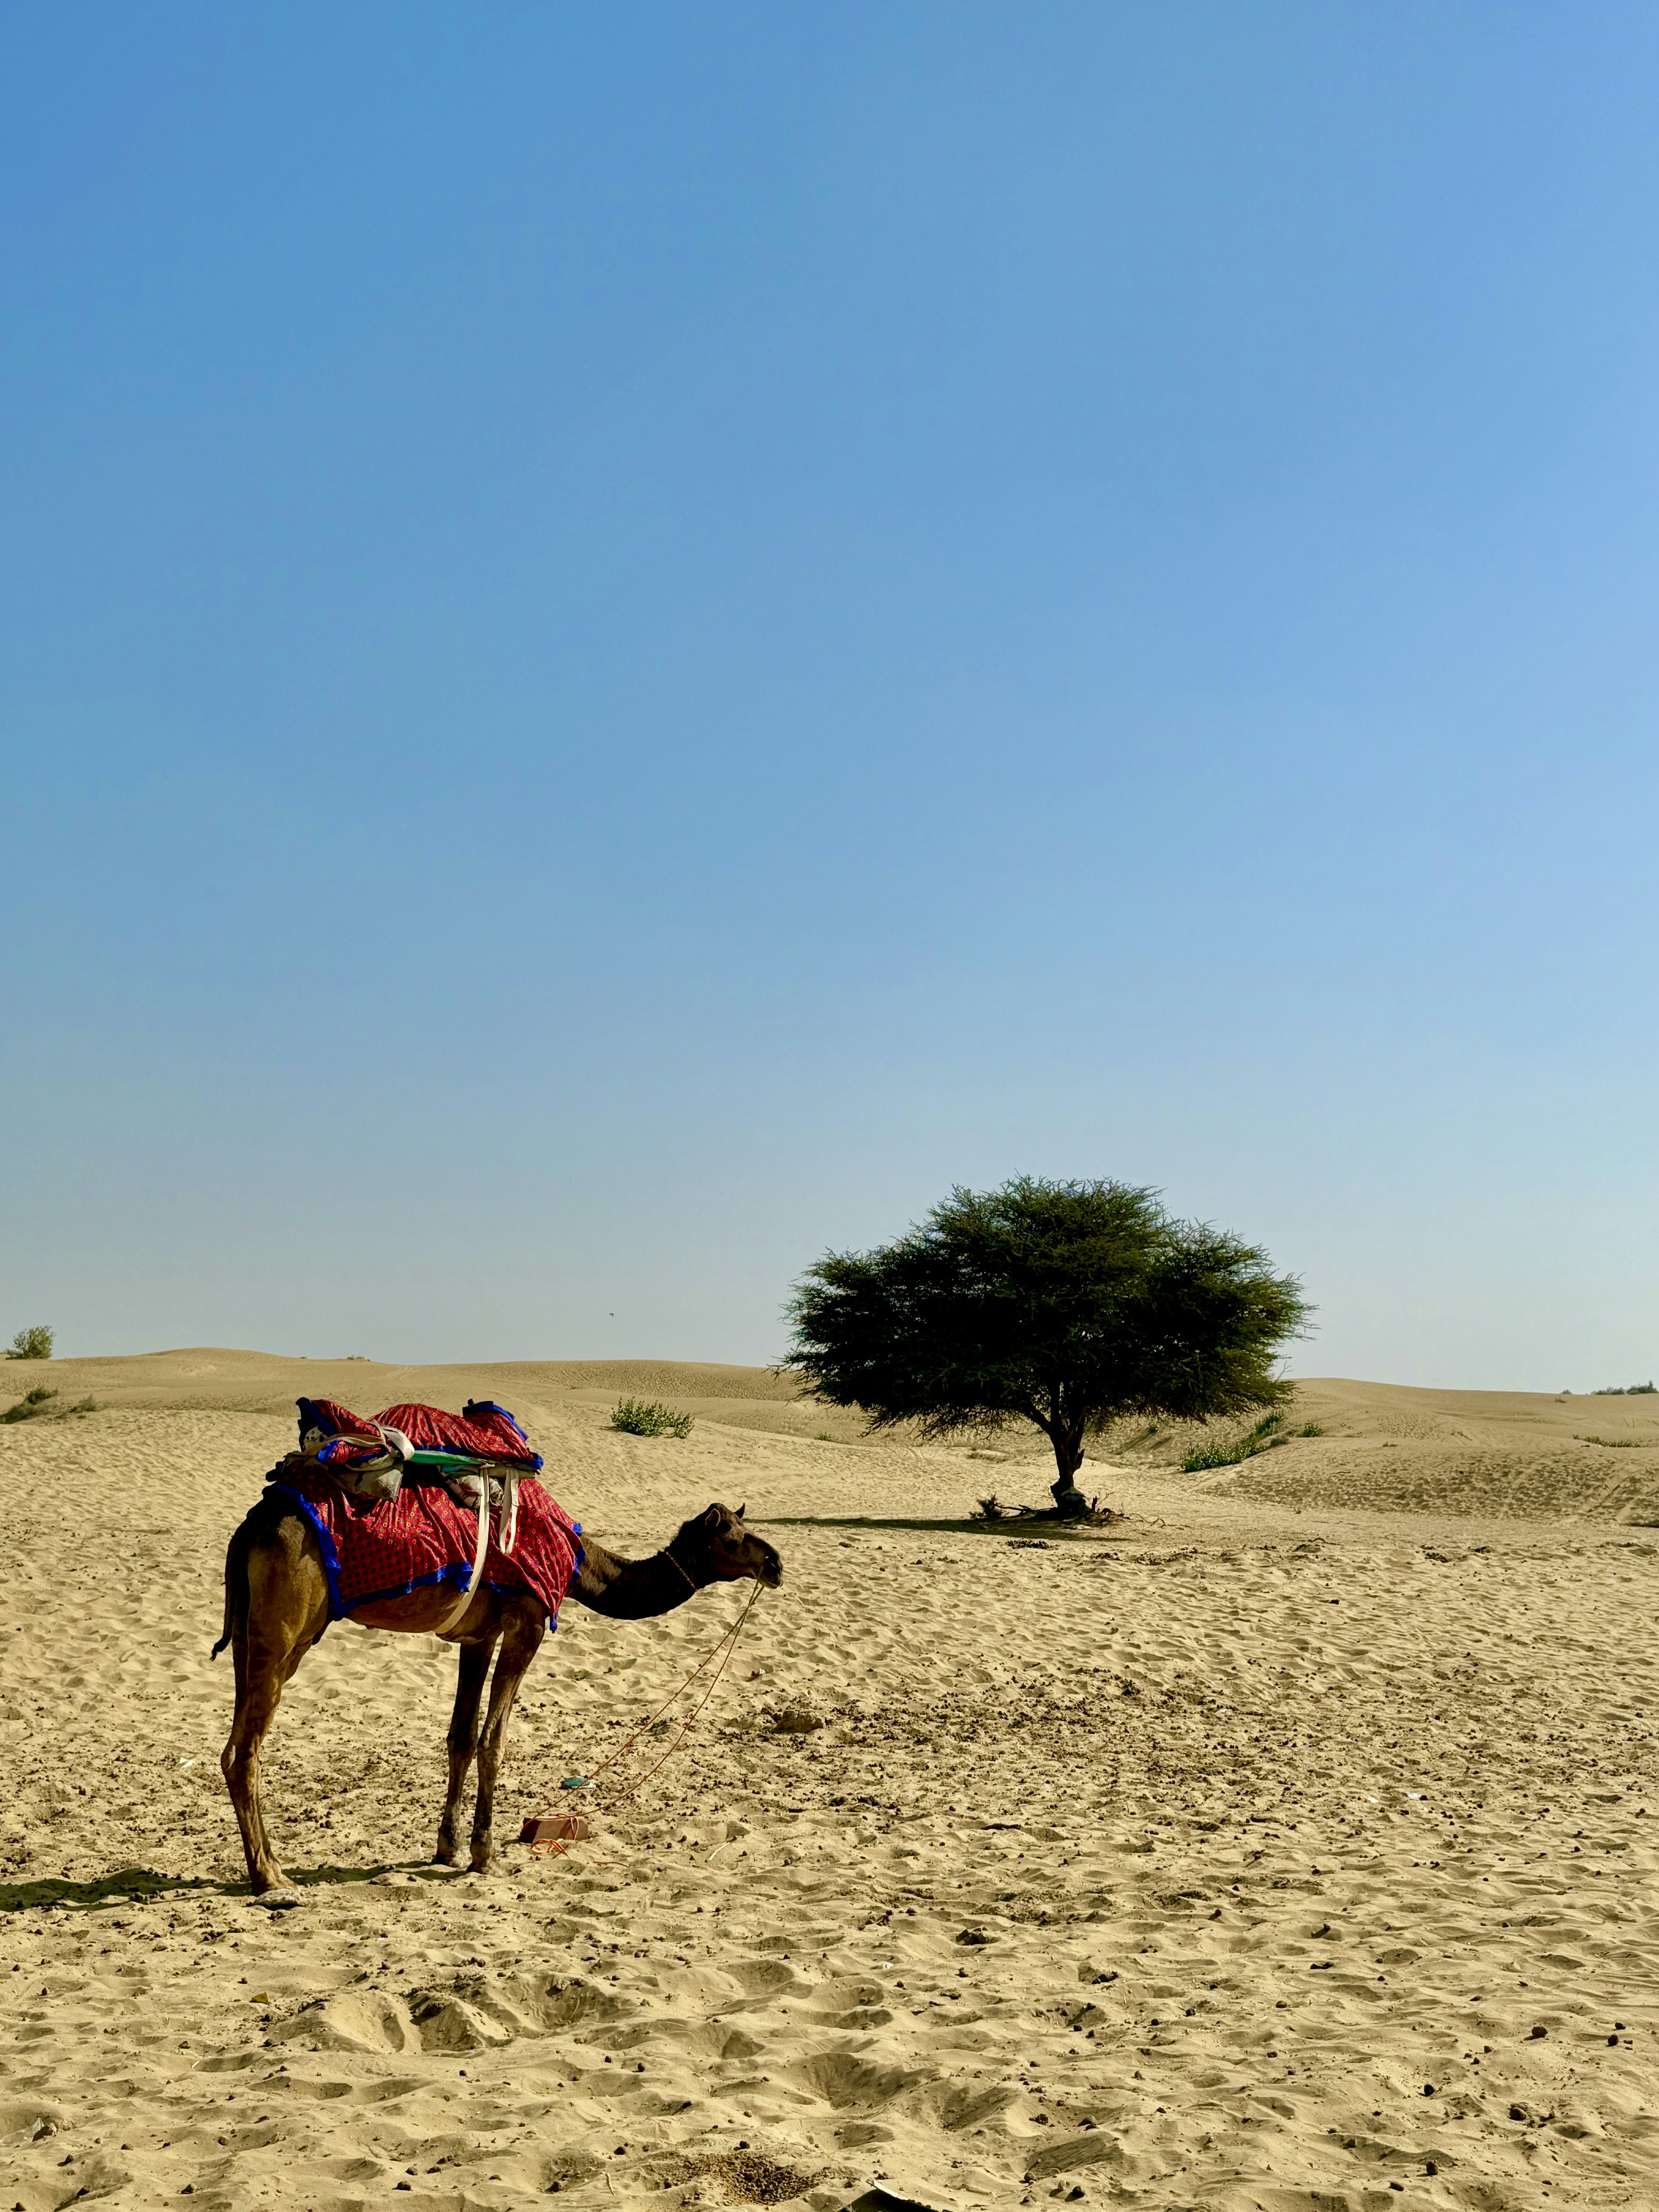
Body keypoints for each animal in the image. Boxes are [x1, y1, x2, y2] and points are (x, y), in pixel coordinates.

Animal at [214, 1490, 782, 1902]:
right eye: (732, 1539)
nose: (775, 1563)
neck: (579, 1565)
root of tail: (253, 1528)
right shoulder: (526, 1621)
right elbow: (495, 1739)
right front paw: (486, 1855)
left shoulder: (478, 1634)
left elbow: (461, 1738)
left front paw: (446, 1848)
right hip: (288, 1626)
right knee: (246, 1752)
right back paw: (272, 1880)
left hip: (251, 1630)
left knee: (236, 1744)